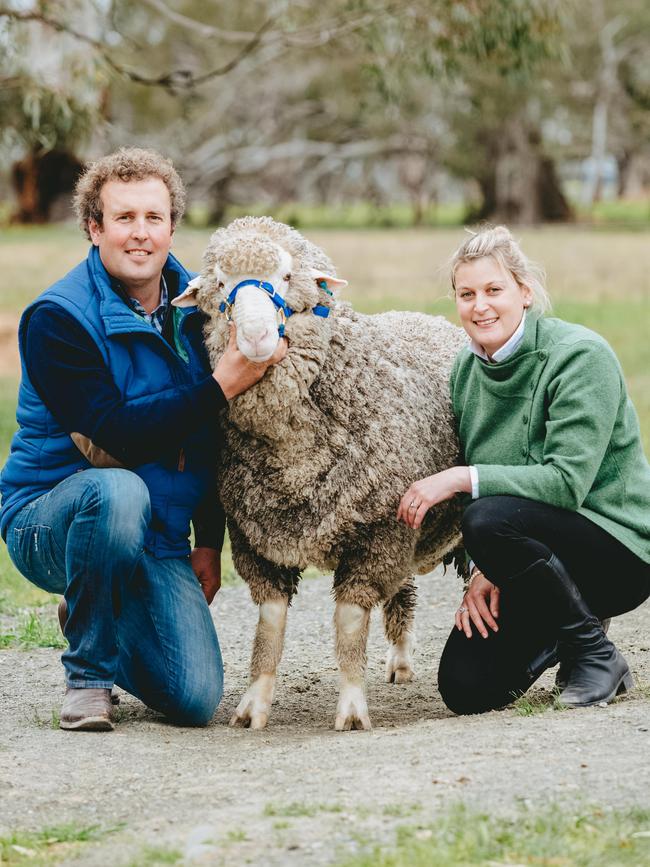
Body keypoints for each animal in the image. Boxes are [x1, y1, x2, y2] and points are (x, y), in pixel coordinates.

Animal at [175, 214, 464, 728]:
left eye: (288, 276)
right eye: (221, 285)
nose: (255, 336)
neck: (293, 460)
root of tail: (428, 318)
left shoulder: (378, 533)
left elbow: (349, 624)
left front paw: (351, 708)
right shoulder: (255, 538)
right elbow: (269, 625)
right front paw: (254, 705)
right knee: (404, 591)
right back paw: (401, 661)